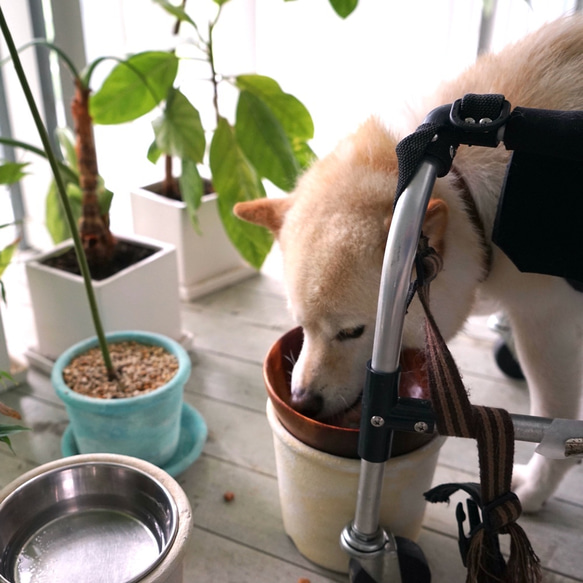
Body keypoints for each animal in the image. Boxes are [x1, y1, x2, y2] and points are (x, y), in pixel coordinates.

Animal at [235, 16, 583, 512]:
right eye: (300, 326)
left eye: (352, 332)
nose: (301, 402)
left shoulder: (546, 323)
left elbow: (556, 419)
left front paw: (534, 489)